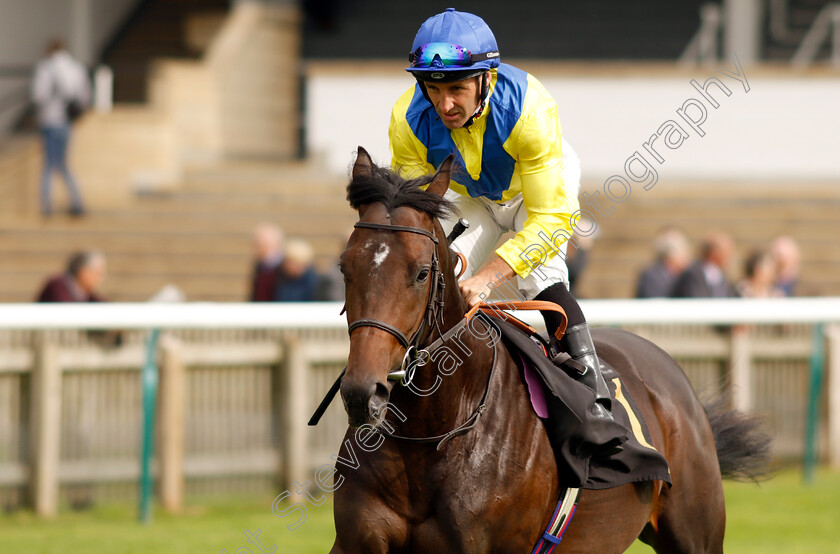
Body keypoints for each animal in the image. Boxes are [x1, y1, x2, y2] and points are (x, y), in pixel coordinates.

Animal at [330, 147, 768, 552]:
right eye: (344, 267)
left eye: (421, 273)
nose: (363, 394)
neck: (428, 432)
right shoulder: (355, 541)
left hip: (696, 534)